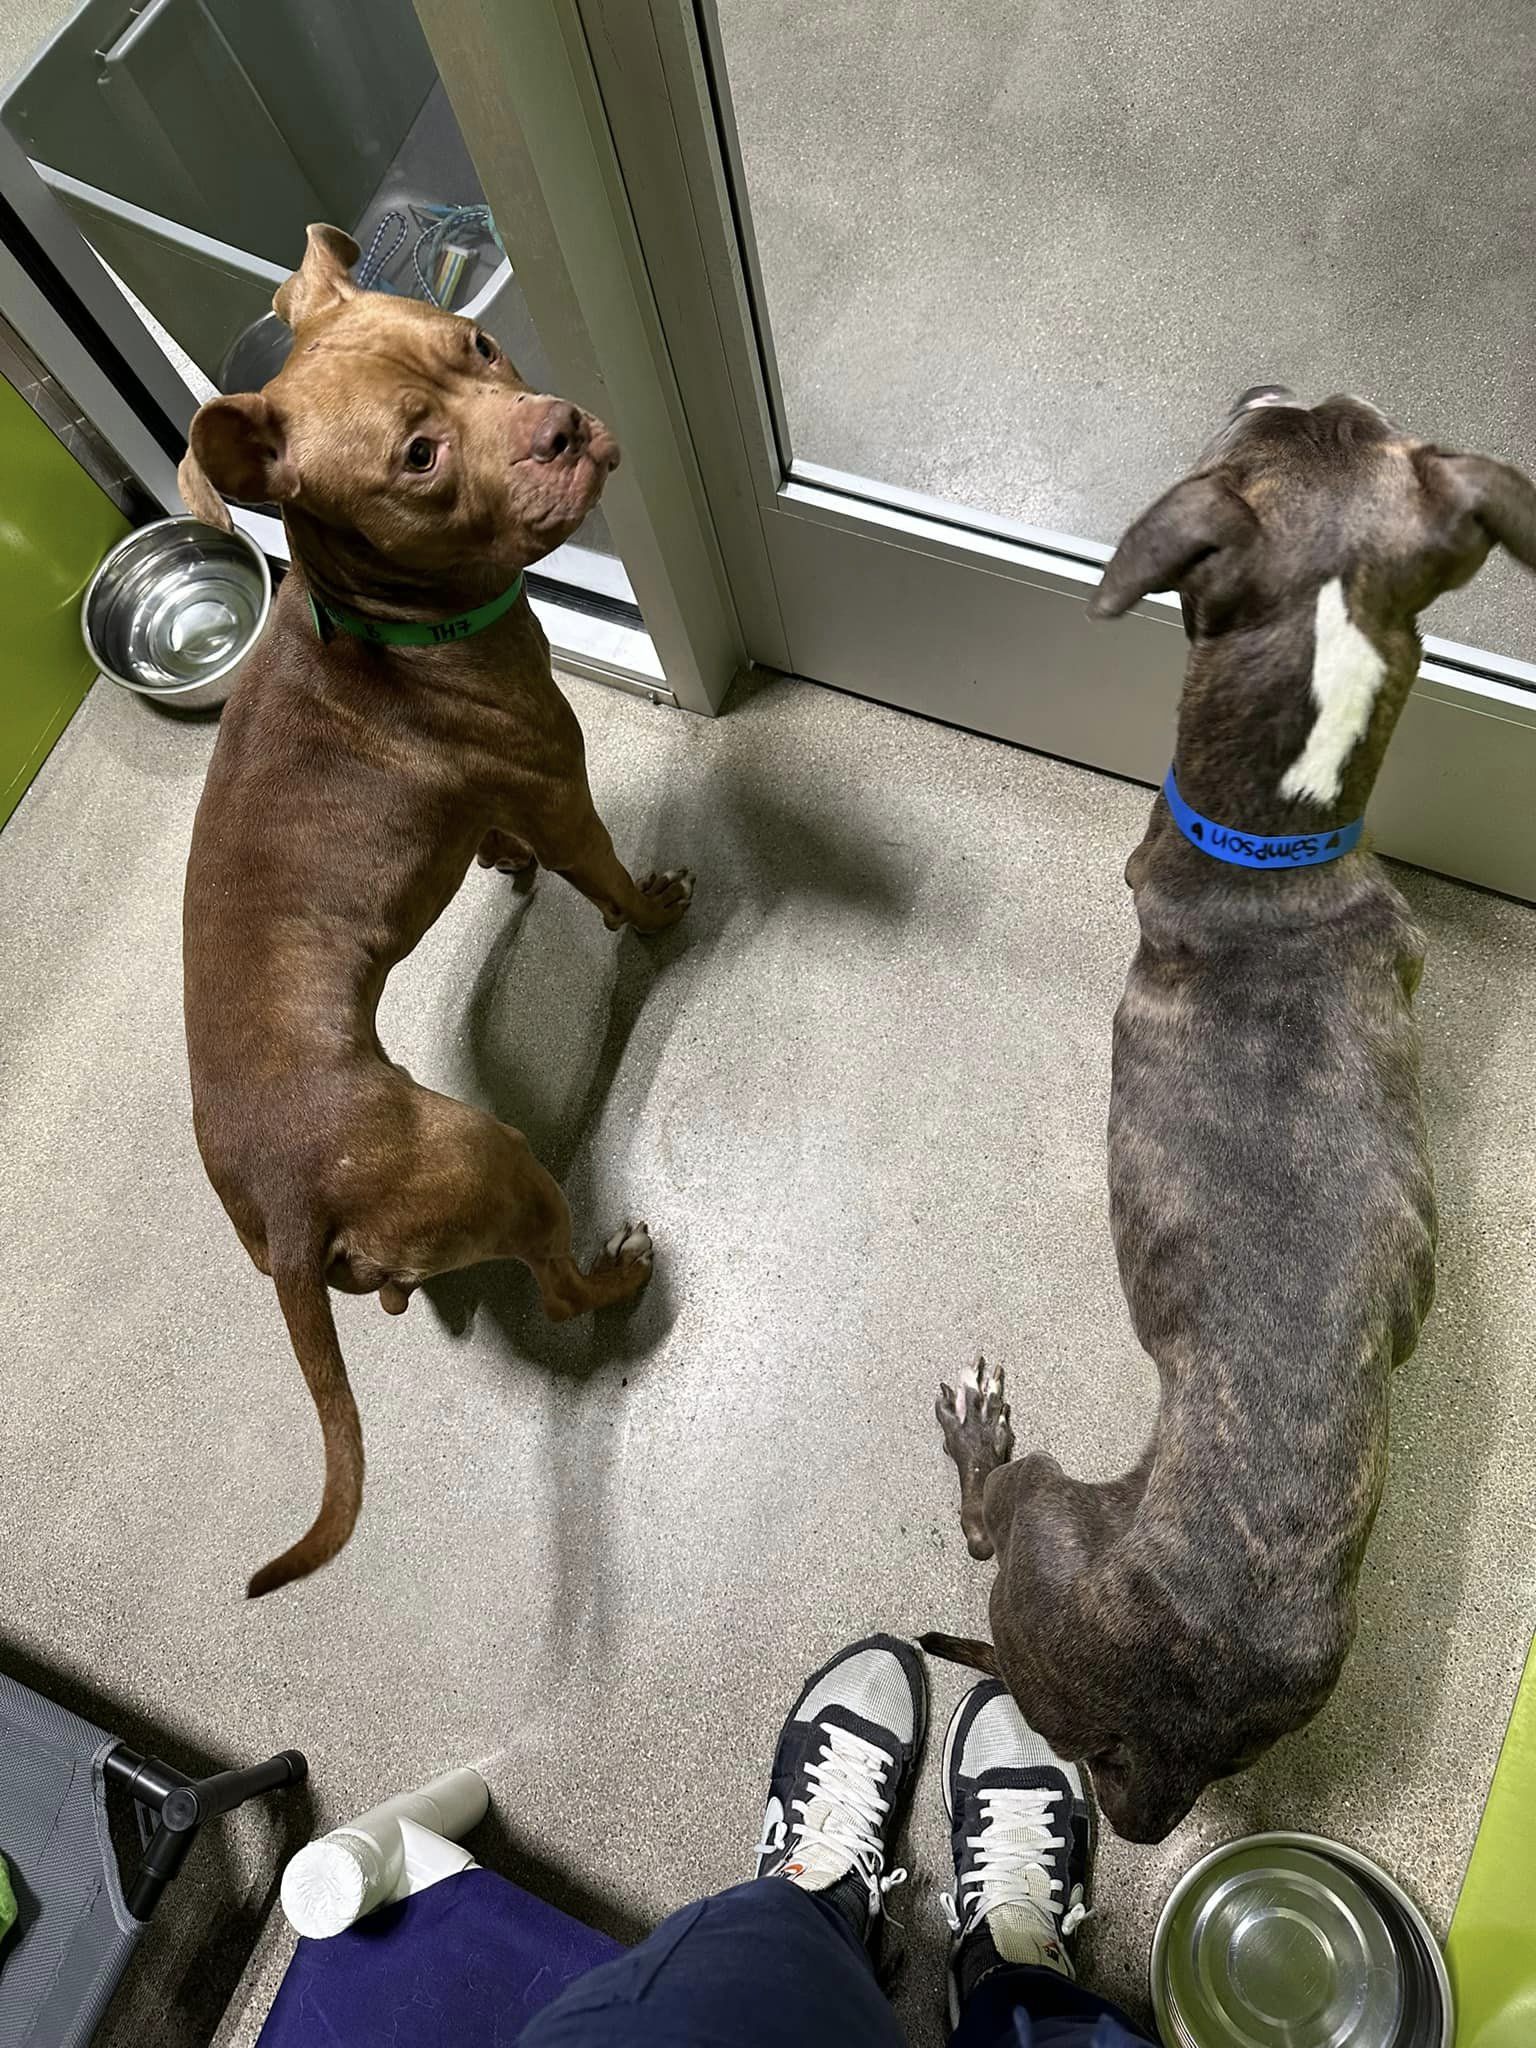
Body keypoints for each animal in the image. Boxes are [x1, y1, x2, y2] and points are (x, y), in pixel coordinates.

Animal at [176, 228, 696, 1597]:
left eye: (479, 342)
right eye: (418, 456)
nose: (564, 426)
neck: (385, 621)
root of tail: (291, 1215)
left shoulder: (502, 806)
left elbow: (500, 842)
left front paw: (504, 867)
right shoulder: (563, 793)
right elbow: (607, 880)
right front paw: (654, 910)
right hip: (492, 1161)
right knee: (557, 1290)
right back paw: (621, 1274)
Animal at [925, 385, 1536, 1843]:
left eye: (1256, 433)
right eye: (1338, 414)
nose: (1269, 385)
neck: (1283, 831)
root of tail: (1162, 1741)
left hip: (1049, 1525)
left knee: (985, 1520)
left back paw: (980, 1435)